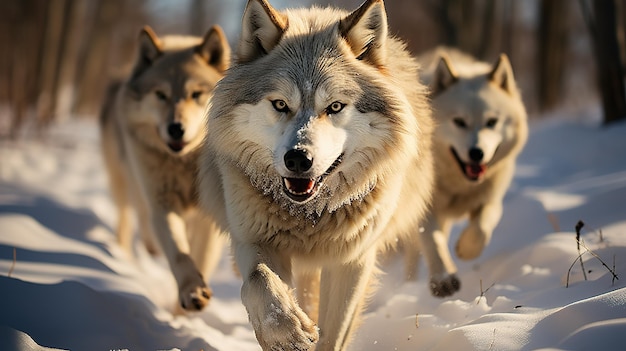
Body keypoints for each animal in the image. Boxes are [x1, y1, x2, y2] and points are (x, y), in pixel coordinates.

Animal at [99, 24, 229, 310]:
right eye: (161, 95)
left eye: (196, 94)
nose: (176, 128)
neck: (186, 164)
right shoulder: (163, 203)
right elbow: (179, 253)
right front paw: (191, 291)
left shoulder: (209, 219)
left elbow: (201, 258)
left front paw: (182, 314)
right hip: (124, 182)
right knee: (129, 220)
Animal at [197, 0, 432, 350]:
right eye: (281, 104)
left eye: (334, 107)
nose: (298, 159)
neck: (309, 216)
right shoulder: (252, 239)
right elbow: (259, 280)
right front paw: (289, 332)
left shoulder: (352, 260)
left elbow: (333, 334)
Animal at [404, 48, 528, 298]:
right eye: (459, 122)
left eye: (492, 122)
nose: (476, 153)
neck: (458, 184)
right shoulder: (427, 209)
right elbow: (433, 242)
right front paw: (443, 280)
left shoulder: (490, 201)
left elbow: (481, 229)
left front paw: (465, 250)